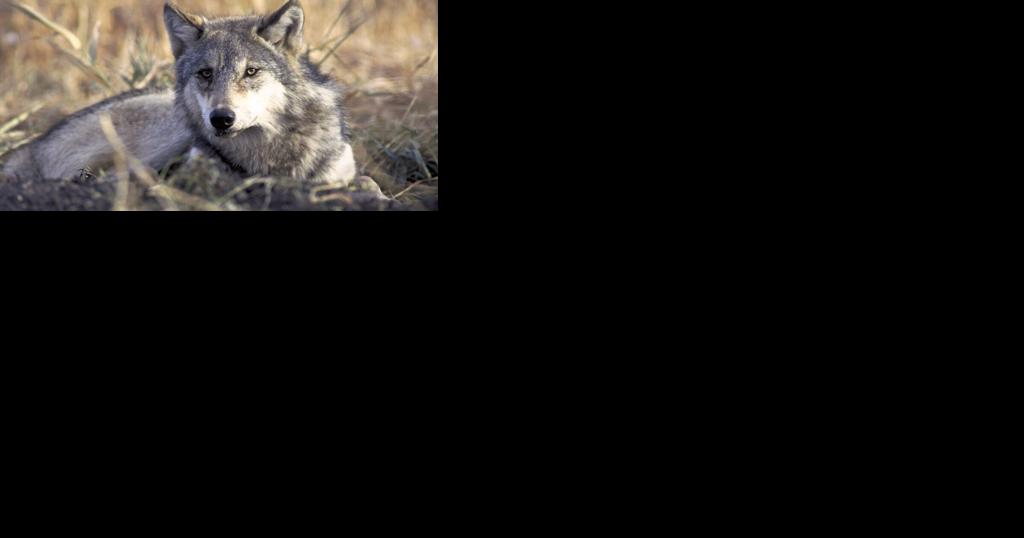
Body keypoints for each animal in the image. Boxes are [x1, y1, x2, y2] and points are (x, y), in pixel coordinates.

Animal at [2, 0, 380, 196]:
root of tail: (33, 145)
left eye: (251, 72)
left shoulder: (340, 168)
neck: (268, 155)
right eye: (205, 73)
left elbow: (368, 183)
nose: (221, 119)